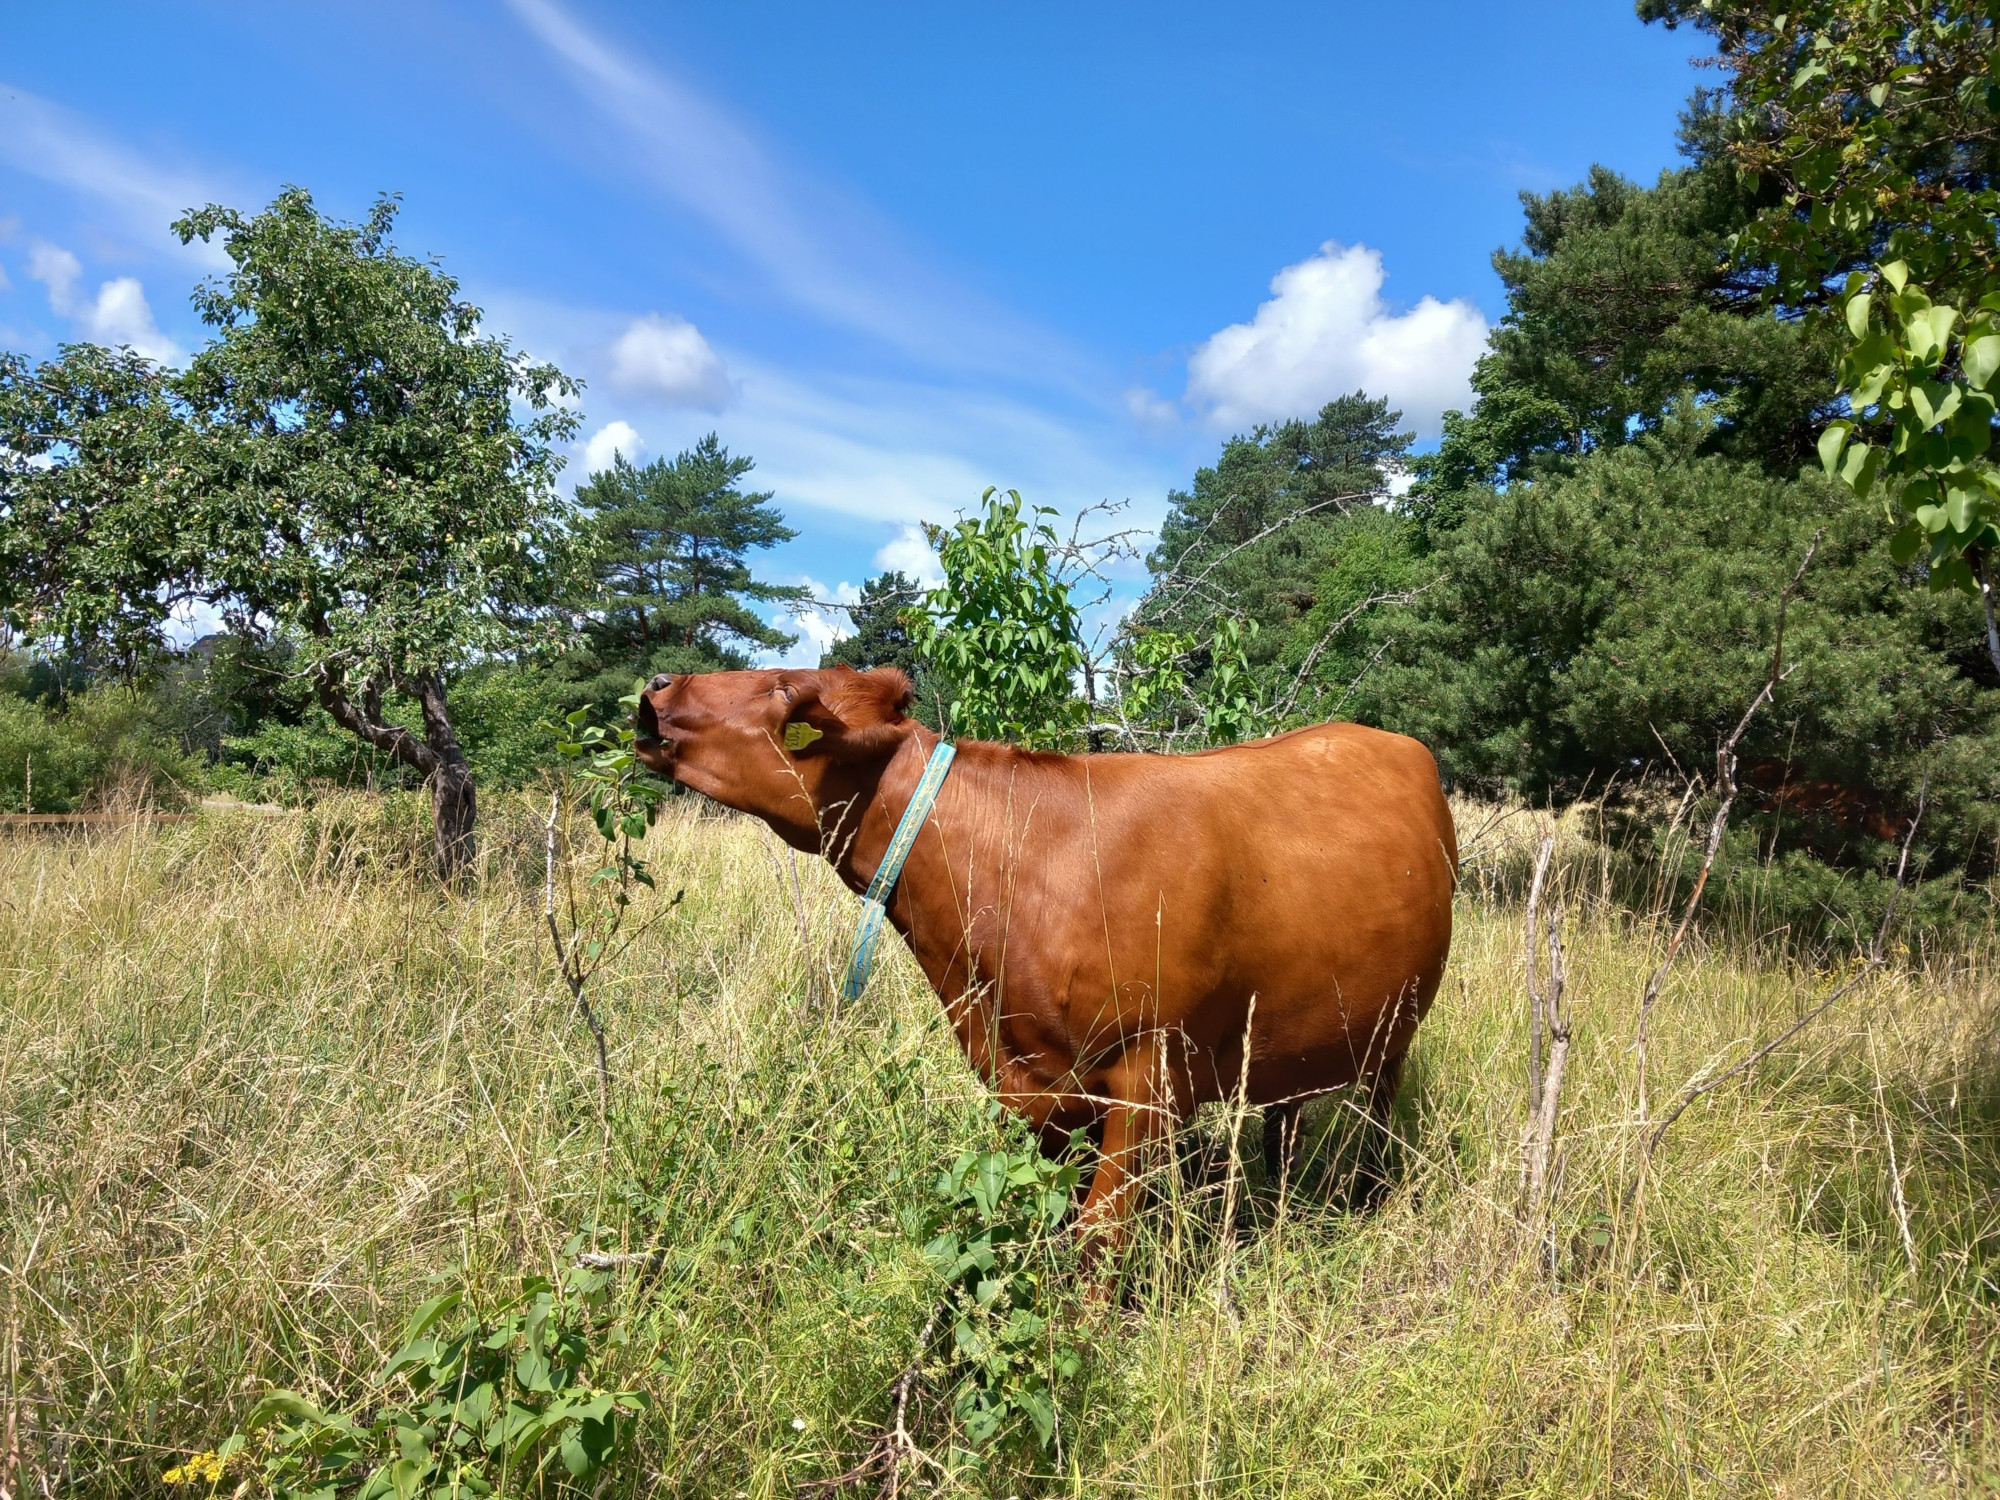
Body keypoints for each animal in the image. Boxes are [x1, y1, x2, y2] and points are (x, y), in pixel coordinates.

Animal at [632, 668, 1464, 1256]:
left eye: (781, 691)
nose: (657, 687)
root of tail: (1386, 737)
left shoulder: (1146, 1076)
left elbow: (1098, 1234)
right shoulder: (1038, 1084)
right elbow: (1052, 1213)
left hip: (1397, 1029)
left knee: (1377, 1116)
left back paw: (1365, 1199)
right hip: (1299, 1027)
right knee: (1285, 1122)